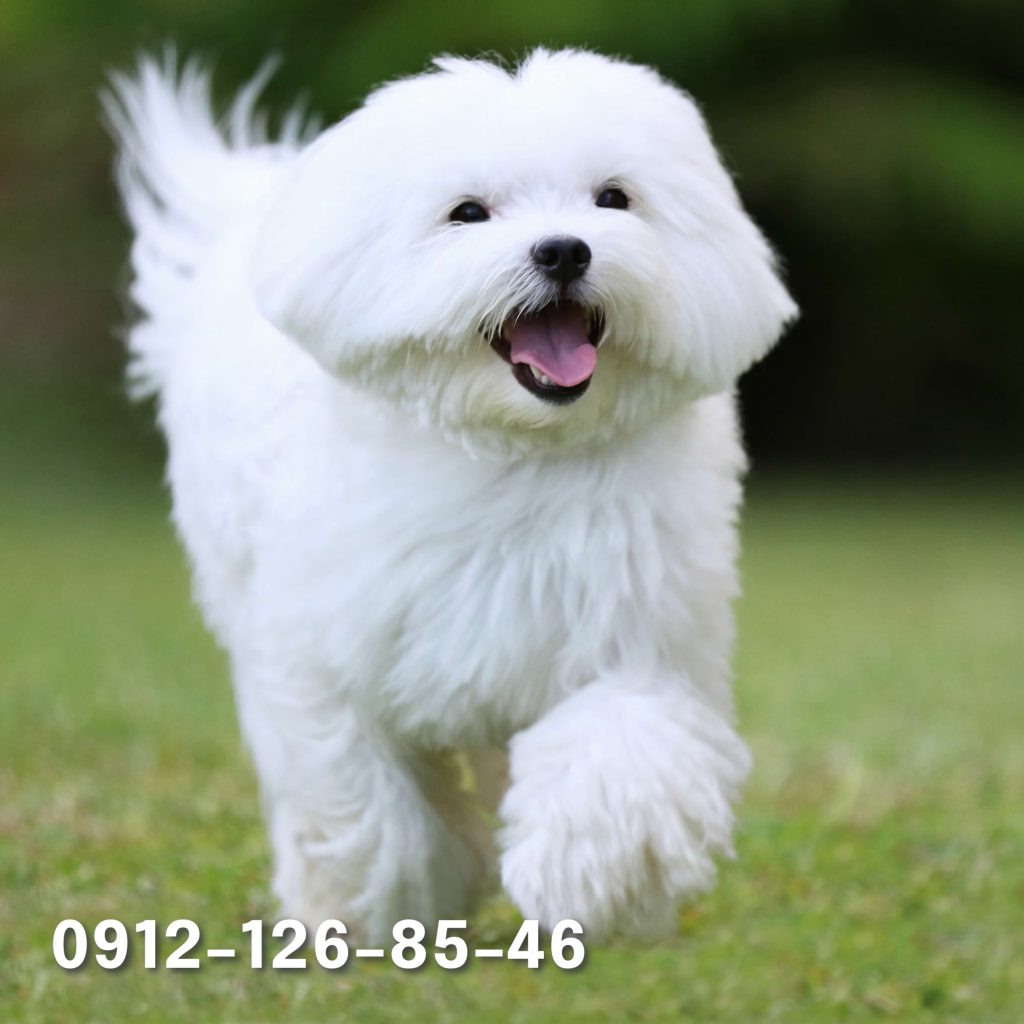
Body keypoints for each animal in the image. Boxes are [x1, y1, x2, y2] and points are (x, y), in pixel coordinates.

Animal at [103, 48, 794, 942]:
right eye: (468, 213)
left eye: (614, 198)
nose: (564, 250)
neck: (512, 447)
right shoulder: (325, 658)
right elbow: (369, 798)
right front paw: (395, 899)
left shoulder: (637, 629)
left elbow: (617, 747)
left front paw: (583, 881)